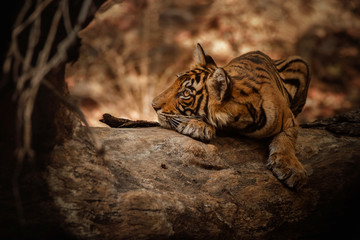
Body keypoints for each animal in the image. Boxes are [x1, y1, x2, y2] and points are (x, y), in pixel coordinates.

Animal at [151, 43, 310, 189]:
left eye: (185, 93)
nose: (153, 105)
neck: (237, 121)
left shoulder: (289, 120)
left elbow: (286, 141)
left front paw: (292, 169)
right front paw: (196, 126)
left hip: (301, 63)